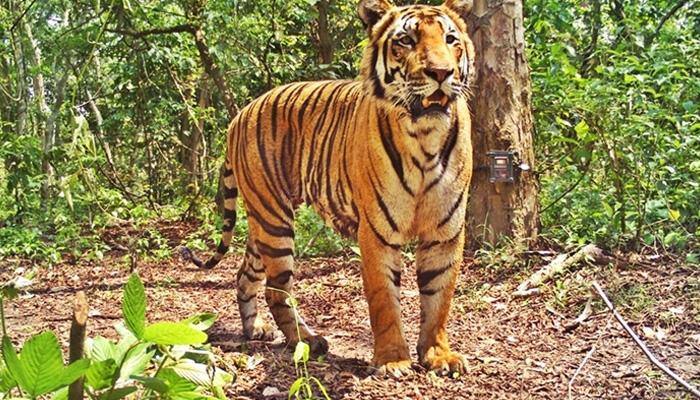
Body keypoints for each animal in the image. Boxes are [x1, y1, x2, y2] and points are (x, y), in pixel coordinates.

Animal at [182, 0, 476, 376]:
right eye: (406, 40)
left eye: (450, 39)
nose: (441, 72)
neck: (425, 139)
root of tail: (240, 113)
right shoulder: (376, 232)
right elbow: (384, 299)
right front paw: (393, 359)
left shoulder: (445, 232)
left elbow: (439, 299)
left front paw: (439, 355)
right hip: (274, 221)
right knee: (277, 290)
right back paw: (307, 341)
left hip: (262, 224)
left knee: (245, 273)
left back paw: (255, 329)